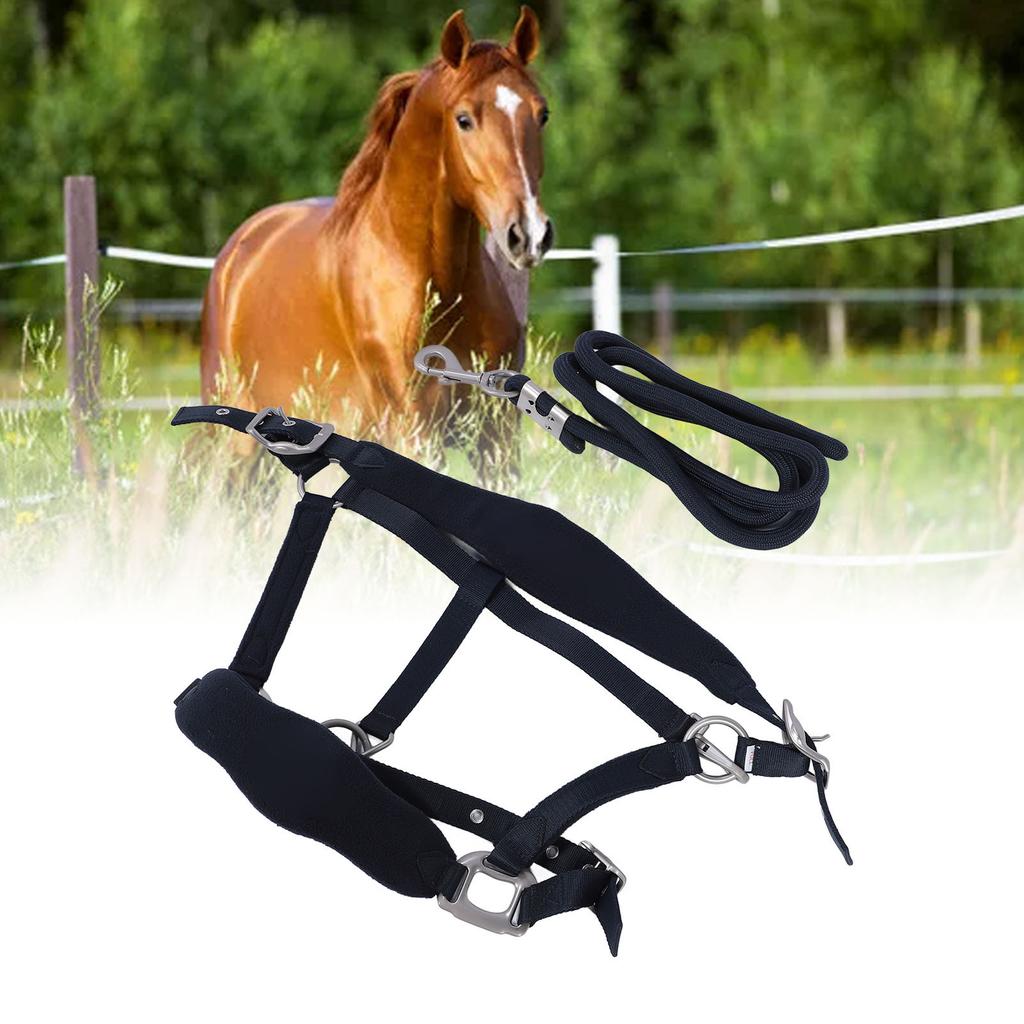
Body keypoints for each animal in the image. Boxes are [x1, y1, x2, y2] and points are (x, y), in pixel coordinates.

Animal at [200, 6, 553, 442]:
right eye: (464, 119)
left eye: (542, 114)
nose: (529, 233)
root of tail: (240, 246)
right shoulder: (414, 428)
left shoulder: (496, 434)